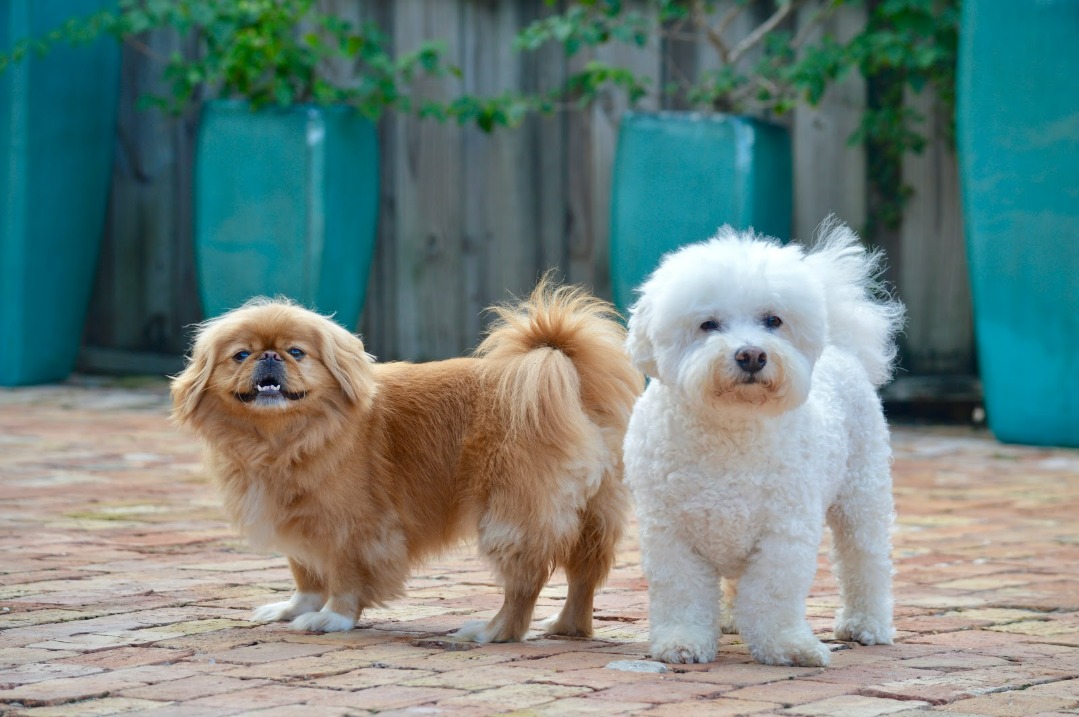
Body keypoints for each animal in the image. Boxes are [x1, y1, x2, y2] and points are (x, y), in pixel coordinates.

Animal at [170, 279, 643, 640]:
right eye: (241, 355)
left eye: (297, 352)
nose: (269, 356)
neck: (283, 439)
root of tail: (562, 368)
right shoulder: (301, 521)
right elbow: (305, 573)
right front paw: (294, 609)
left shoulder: (353, 528)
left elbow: (343, 578)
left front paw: (331, 618)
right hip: (592, 516)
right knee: (584, 576)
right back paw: (565, 628)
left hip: (512, 515)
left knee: (526, 582)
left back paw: (493, 632)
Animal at [623, 219, 905, 666]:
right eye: (708, 324)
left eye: (773, 320)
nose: (752, 355)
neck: (731, 428)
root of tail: (839, 345)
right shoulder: (669, 534)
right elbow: (682, 593)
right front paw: (683, 641)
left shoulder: (784, 531)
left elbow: (774, 593)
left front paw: (787, 645)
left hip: (862, 496)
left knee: (866, 559)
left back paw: (867, 625)